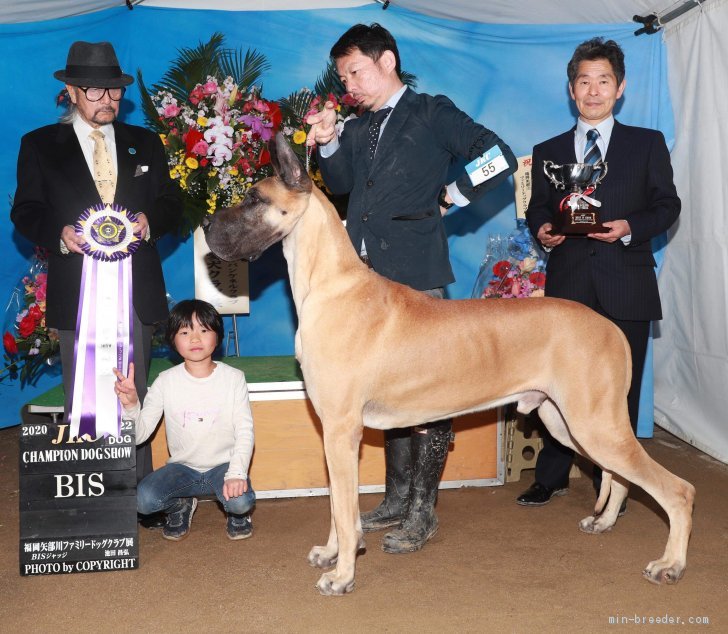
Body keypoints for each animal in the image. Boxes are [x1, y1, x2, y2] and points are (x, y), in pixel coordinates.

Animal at [203, 133, 692, 592]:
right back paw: (605, 522)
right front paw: (333, 552)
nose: (206, 225)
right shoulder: (335, 434)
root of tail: (611, 328)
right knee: (620, 476)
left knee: (677, 490)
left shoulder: (342, 431)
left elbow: (343, 508)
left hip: (595, 424)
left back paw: (669, 564)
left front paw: (342, 575)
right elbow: (337, 505)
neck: (328, 283)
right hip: (567, 422)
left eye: (254, 199)